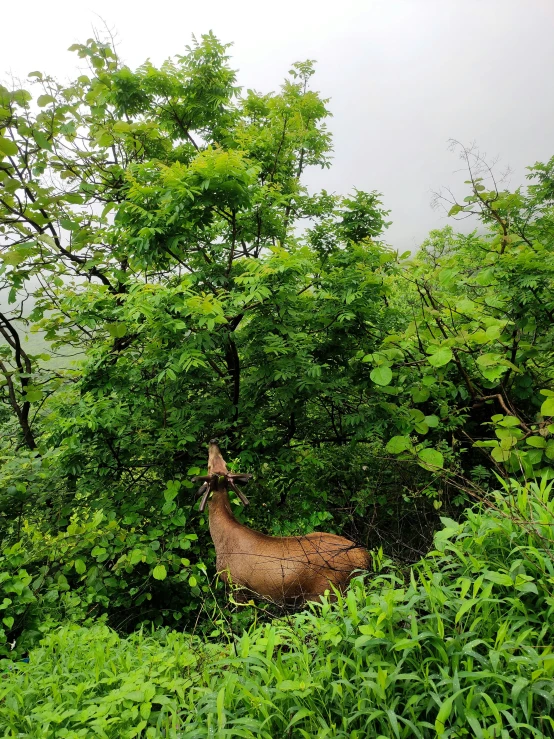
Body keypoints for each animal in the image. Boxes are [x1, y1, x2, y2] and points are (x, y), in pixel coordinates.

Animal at [192, 440, 368, 608]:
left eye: (209, 465)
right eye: (222, 461)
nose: (213, 440)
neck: (220, 538)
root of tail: (365, 558)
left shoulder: (237, 586)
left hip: (328, 592)